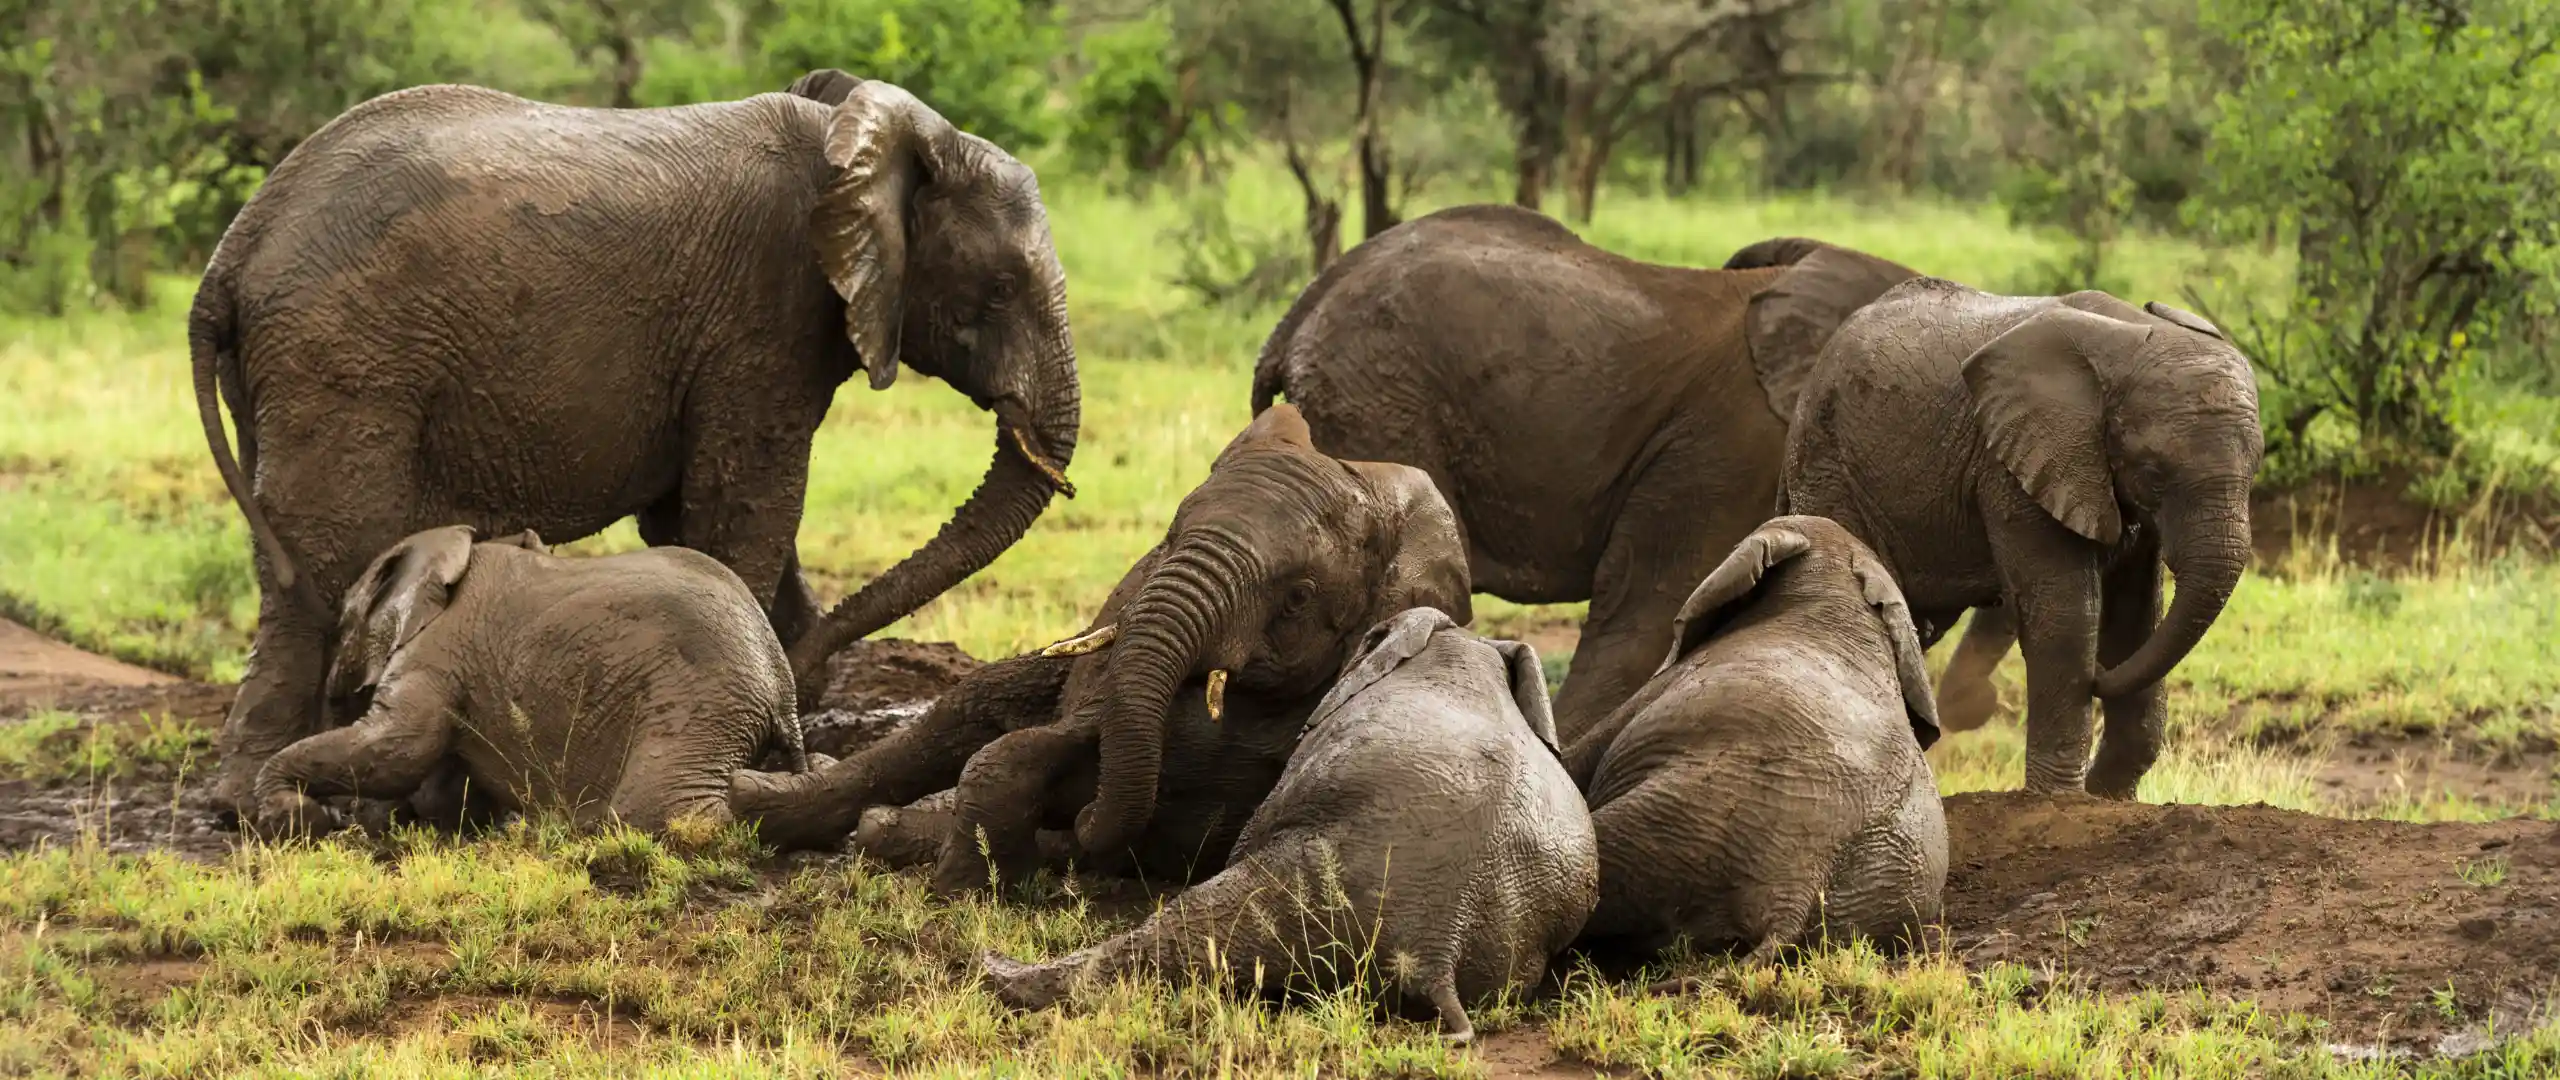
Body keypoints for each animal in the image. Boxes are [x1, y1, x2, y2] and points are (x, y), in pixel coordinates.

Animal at [248, 525, 805, 838]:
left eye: (342, 623)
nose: (335, 817)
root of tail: (782, 683)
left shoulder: (436, 654)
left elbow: (399, 749)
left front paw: (295, 817)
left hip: (698, 704)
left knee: (659, 812)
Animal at [732, 404, 1475, 889]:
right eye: (1168, 542)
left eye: (1297, 597)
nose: (1084, 821)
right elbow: (1040, 740)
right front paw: (972, 876)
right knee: (959, 715)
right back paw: (759, 804)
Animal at [1781, 279, 2262, 797]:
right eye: (2154, 474)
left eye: (2256, 468)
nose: (2098, 677)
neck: (2131, 336)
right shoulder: (2014, 466)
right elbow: (2066, 612)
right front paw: (2060, 800)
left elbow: (2135, 619)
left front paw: (2108, 796)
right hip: (1829, 464)